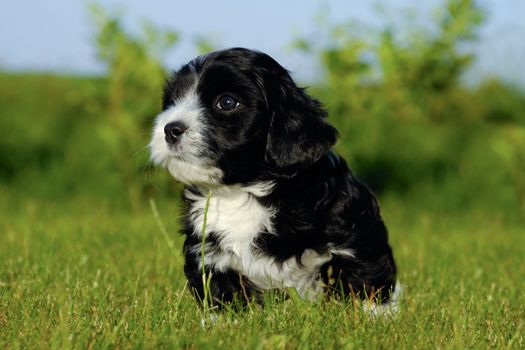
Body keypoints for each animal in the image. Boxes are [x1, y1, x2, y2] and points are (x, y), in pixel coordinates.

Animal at [149, 47, 396, 308]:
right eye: (172, 101)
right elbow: (223, 293)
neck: (243, 193)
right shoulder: (207, 252)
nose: (170, 129)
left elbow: (365, 279)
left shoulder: (355, 231)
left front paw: (373, 314)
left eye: (226, 102)